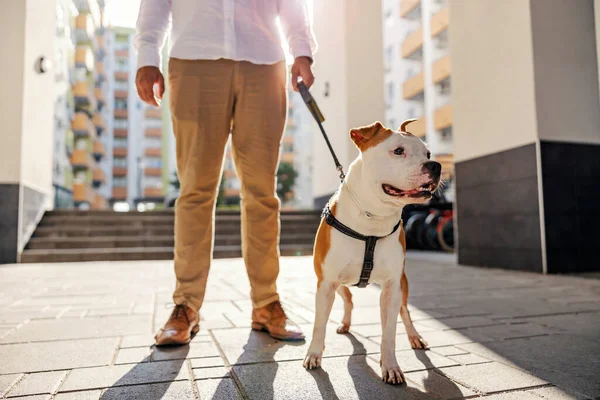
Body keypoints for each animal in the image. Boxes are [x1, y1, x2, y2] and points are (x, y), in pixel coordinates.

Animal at [304, 119, 440, 384]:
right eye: (398, 151)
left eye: (427, 153)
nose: (436, 165)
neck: (372, 218)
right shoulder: (325, 283)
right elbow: (318, 324)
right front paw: (314, 354)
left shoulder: (391, 286)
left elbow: (389, 332)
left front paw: (390, 366)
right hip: (339, 284)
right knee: (348, 300)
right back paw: (345, 325)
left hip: (403, 284)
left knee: (405, 312)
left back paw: (415, 337)